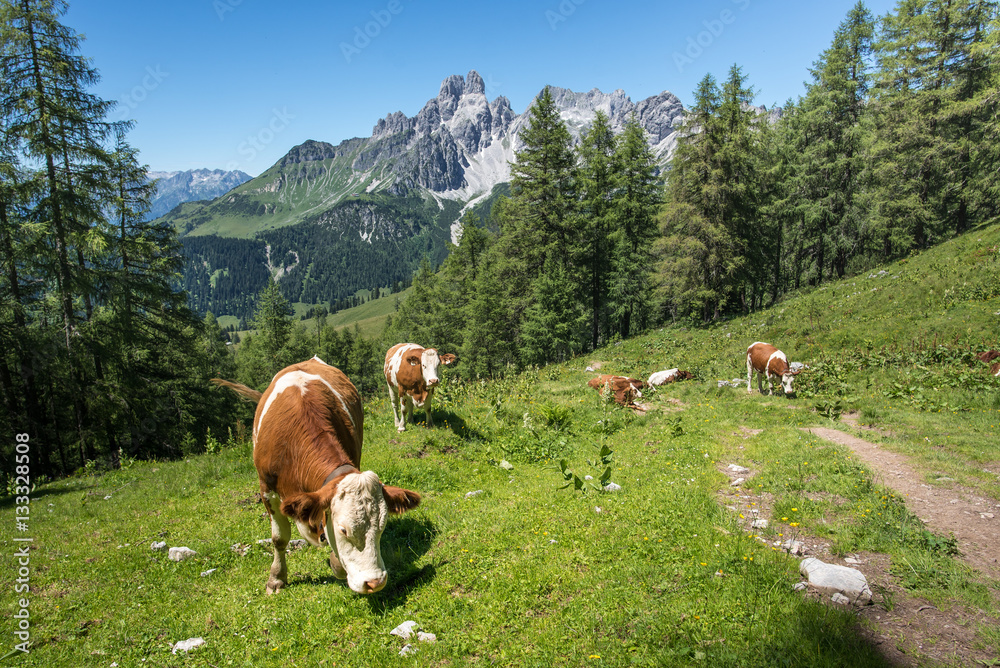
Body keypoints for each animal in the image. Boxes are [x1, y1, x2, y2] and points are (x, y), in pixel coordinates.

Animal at [213, 354, 420, 596]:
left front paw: (336, 564)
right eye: (343, 530)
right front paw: (276, 578)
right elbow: (279, 538)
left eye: (382, 526)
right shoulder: (267, 489)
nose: (375, 582)